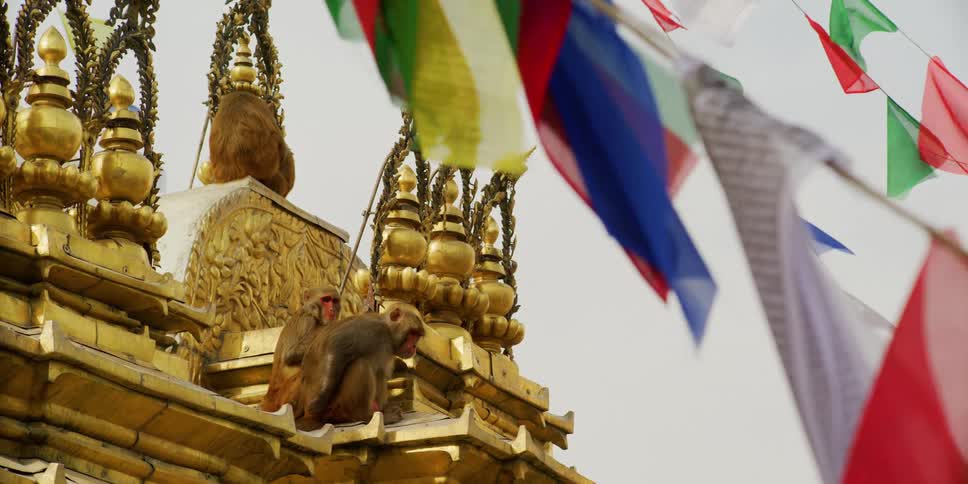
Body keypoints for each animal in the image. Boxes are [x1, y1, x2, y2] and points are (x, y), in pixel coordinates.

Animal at [295, 305, 425, 430]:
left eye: (417, 336)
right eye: (412, 334)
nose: (414, 346)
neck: (388, 333)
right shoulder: (370, 329)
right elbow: (337, 347)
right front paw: (321, 399)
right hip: (335, 407)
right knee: (361, 364)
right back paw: (365, 416)